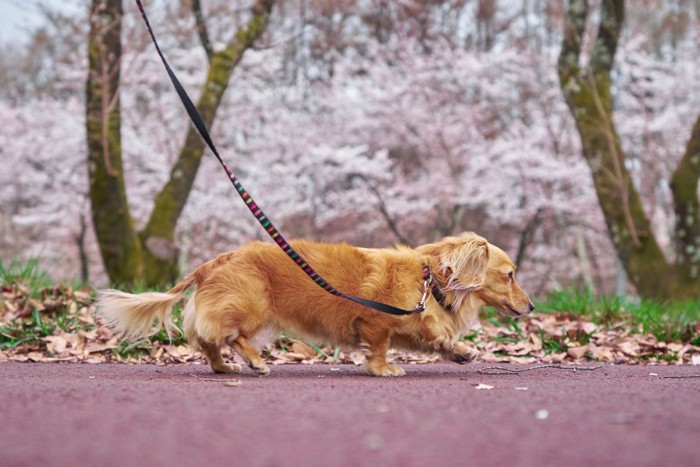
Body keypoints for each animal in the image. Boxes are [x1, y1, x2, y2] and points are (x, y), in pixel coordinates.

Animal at [98, 232, 532, 378]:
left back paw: (223, 367)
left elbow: (436, 338)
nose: (529, 308)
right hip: (255, 309)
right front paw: (383, 369)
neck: (430, 282)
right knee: (230, 336)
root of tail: (215, 262)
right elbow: (379, 349)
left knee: (208, 341)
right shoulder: (375, 324)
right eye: (510, 274)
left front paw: (460, 352)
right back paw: (253, 362)